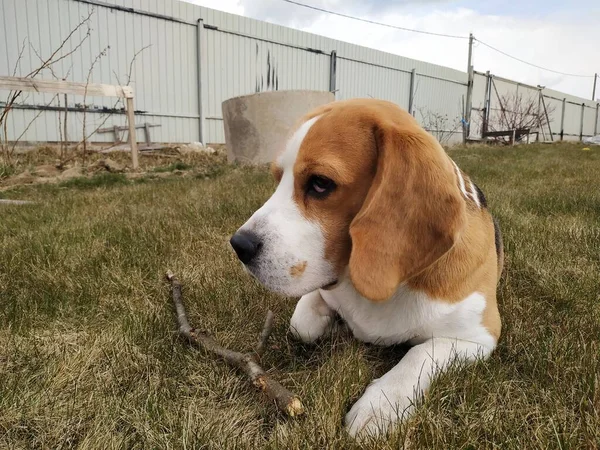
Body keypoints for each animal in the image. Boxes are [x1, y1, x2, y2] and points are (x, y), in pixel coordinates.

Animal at [232, 99, 504, 440]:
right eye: (277, 177)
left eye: (320, 184)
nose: (238, 245)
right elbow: (302, 324)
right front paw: (335, 325)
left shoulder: (478, 337)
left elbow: (420, 355)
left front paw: (380, 405)